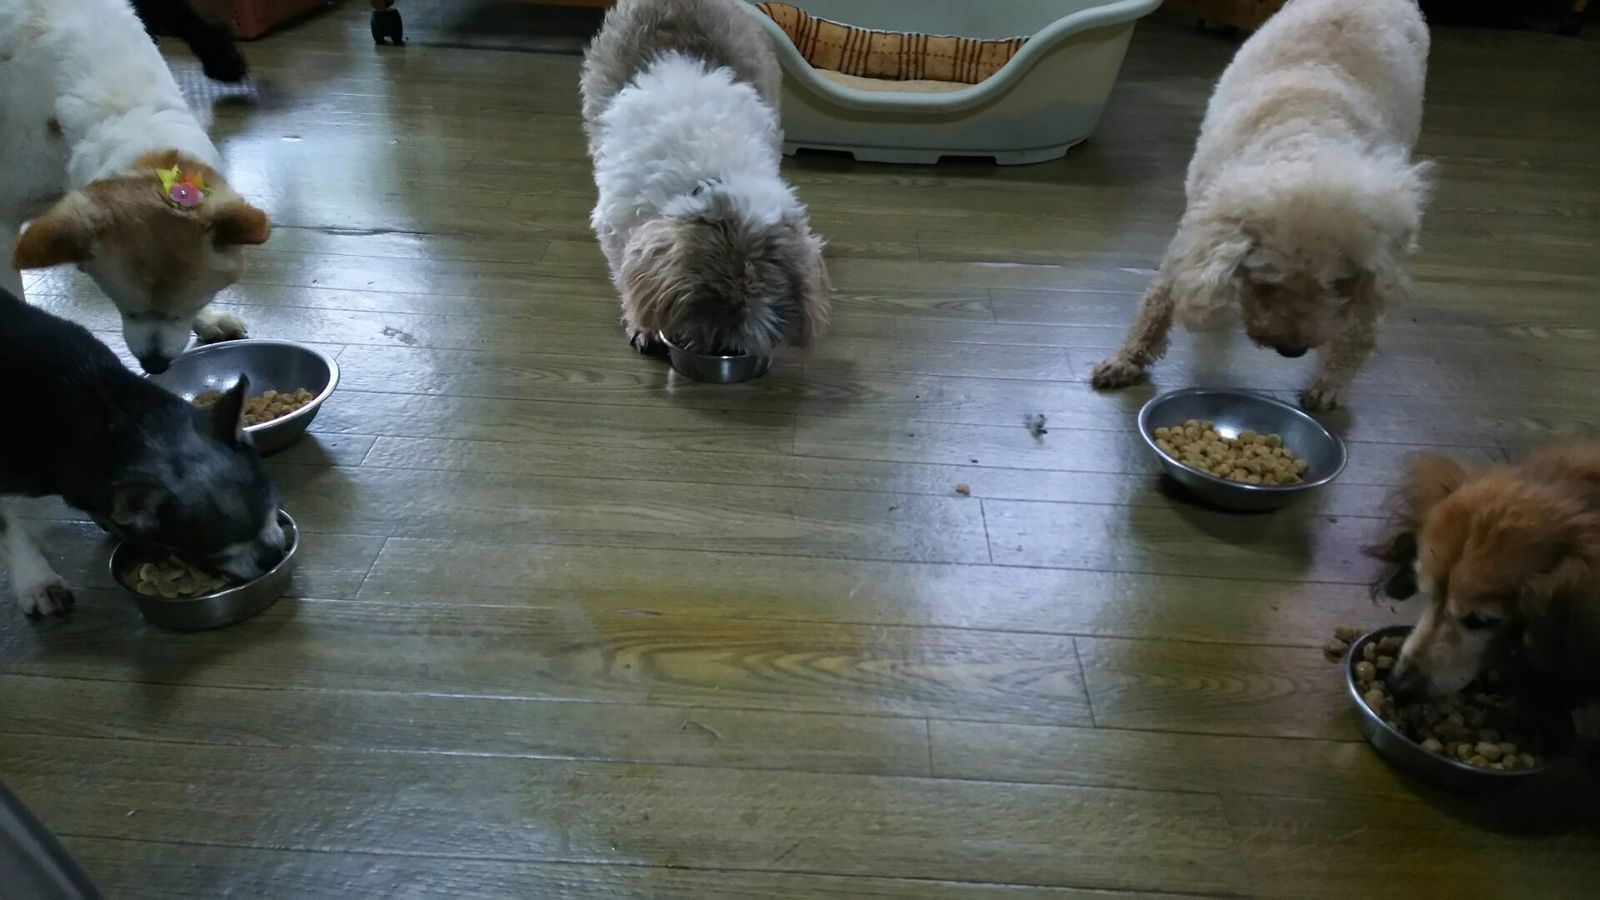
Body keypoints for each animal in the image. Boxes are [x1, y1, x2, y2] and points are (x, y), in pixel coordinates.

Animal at [0, 288, 283, 618]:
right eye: (219, 553)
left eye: (273, 508)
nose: (272, 556)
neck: (107, 413)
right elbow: (9, 529)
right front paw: (36, 580)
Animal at [1090, 0, 1432, 411]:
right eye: (1269, 283)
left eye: (1334, 283)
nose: (1292, 350)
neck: (1305, 135)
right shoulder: (1196, 230)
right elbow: (1159, 299)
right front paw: (1126, 361)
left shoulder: (1378, 260)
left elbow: (1358, 331)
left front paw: (1330, 384)